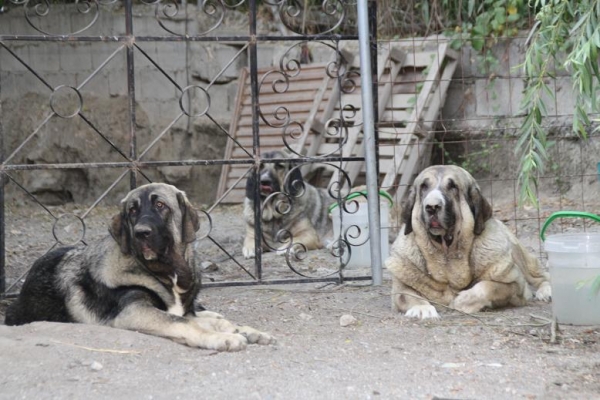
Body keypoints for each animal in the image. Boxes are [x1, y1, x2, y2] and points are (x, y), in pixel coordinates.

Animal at [6, 183, 274, 352]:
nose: (140, 233)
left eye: (161, 206)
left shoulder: (179, 309)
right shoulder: (134, 311)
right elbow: (183, 323)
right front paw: (221, 338)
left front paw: (241, 331)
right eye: (132, 210)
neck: (167, 272)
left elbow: (201, 320)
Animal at [386, 165, 552, 318]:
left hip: (520, 257)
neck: (446, 254)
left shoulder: (516, 284)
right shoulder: (400, 288)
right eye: (424, 186)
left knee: (540, 276)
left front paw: (462, 301)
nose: (432, 206)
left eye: (453, 186)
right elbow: (408, 295)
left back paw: (546, 291)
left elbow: (488, 287)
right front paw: (422, 308)